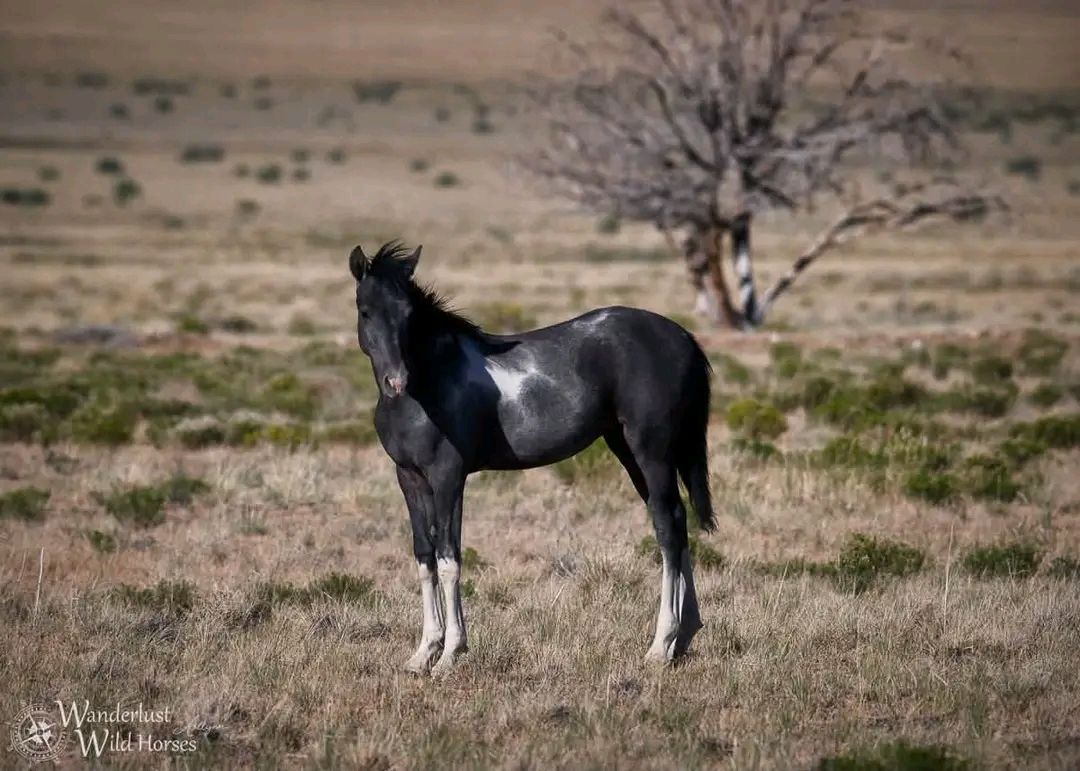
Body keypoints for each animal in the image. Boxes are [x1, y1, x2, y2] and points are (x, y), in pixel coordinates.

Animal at [349, 241, 715, 674]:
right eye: (365, 310)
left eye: (407, 313)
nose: (396, 381)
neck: (430, 386)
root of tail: (681, 336)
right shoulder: (409, 478)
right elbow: (425, 557)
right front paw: (423, 653)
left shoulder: (448, 477)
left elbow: (449, 557)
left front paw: (451, 653)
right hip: (630, 452)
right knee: (676, 520)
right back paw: (684, 636)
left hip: (651, 453)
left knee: (667, 529)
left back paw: (660, 645)